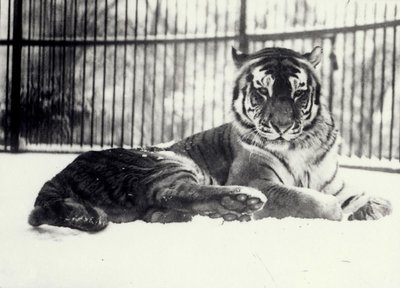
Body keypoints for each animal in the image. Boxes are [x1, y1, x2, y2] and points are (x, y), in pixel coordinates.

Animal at [29, 46, 392, 232]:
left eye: (298, 93)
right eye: (262, 92)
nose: (281, 126)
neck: (300, 144)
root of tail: (58, 176)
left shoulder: (331, 180)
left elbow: (356, 196)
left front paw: (374, 205)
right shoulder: (258, 178)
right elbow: (305, 198)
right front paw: (337, 210)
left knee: (158, 208)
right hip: (165, 161)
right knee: (172, 192)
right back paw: (241, 204)